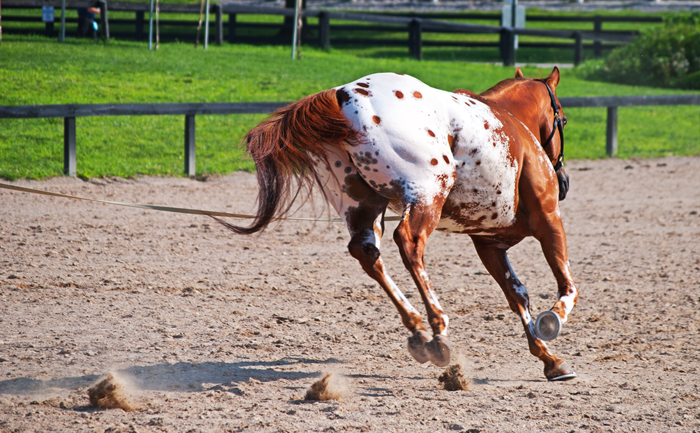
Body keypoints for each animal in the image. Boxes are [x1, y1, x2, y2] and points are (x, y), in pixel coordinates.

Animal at [219, 66, 580, 380]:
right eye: (562, 117)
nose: (563, 182)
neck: (514, 124)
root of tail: (343, 94)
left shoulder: (488, 244)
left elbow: (518, 295)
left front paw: (548, 358)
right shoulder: (549, 221)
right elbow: (567, 286)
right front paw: (552, 322)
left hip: (364, 208)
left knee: (367, 253)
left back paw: (419, 330)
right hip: (427, 194)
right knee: (409, 242)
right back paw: (437, 329)